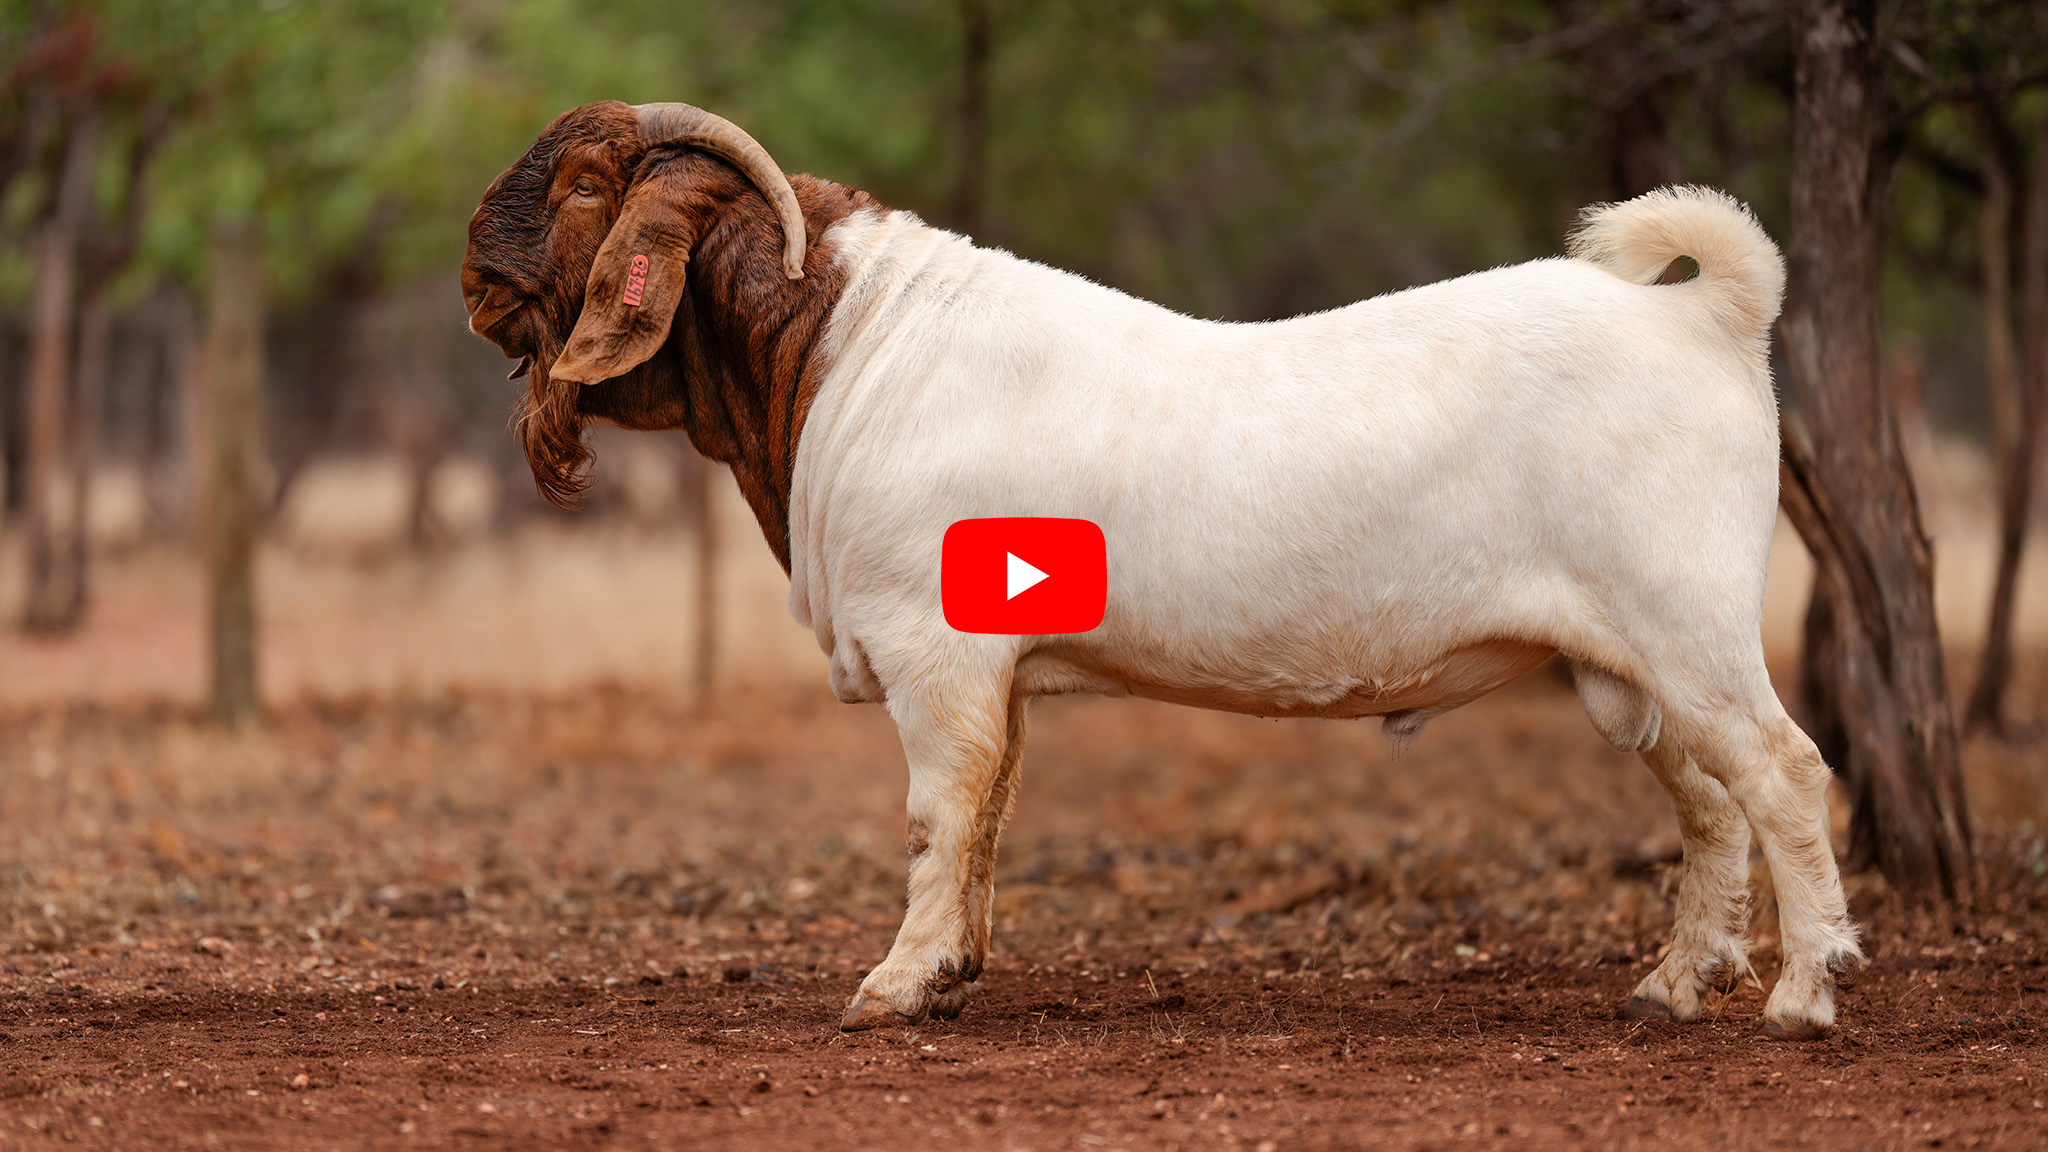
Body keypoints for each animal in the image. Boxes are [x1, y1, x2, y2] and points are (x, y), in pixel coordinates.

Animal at [462, 100, 1865, 1040]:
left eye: (581, 181)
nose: (471, 271)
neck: (843, 346)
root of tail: (1704, 313)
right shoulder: (997, 674)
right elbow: (987, 814)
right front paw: (954, 972)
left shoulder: (933, 652)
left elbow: (936, 813)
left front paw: (895, 985)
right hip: (1625, 659)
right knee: (1708, 799)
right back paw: (1675, 986)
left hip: (1688, 625)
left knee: (1785, 774)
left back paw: (1801, 995)